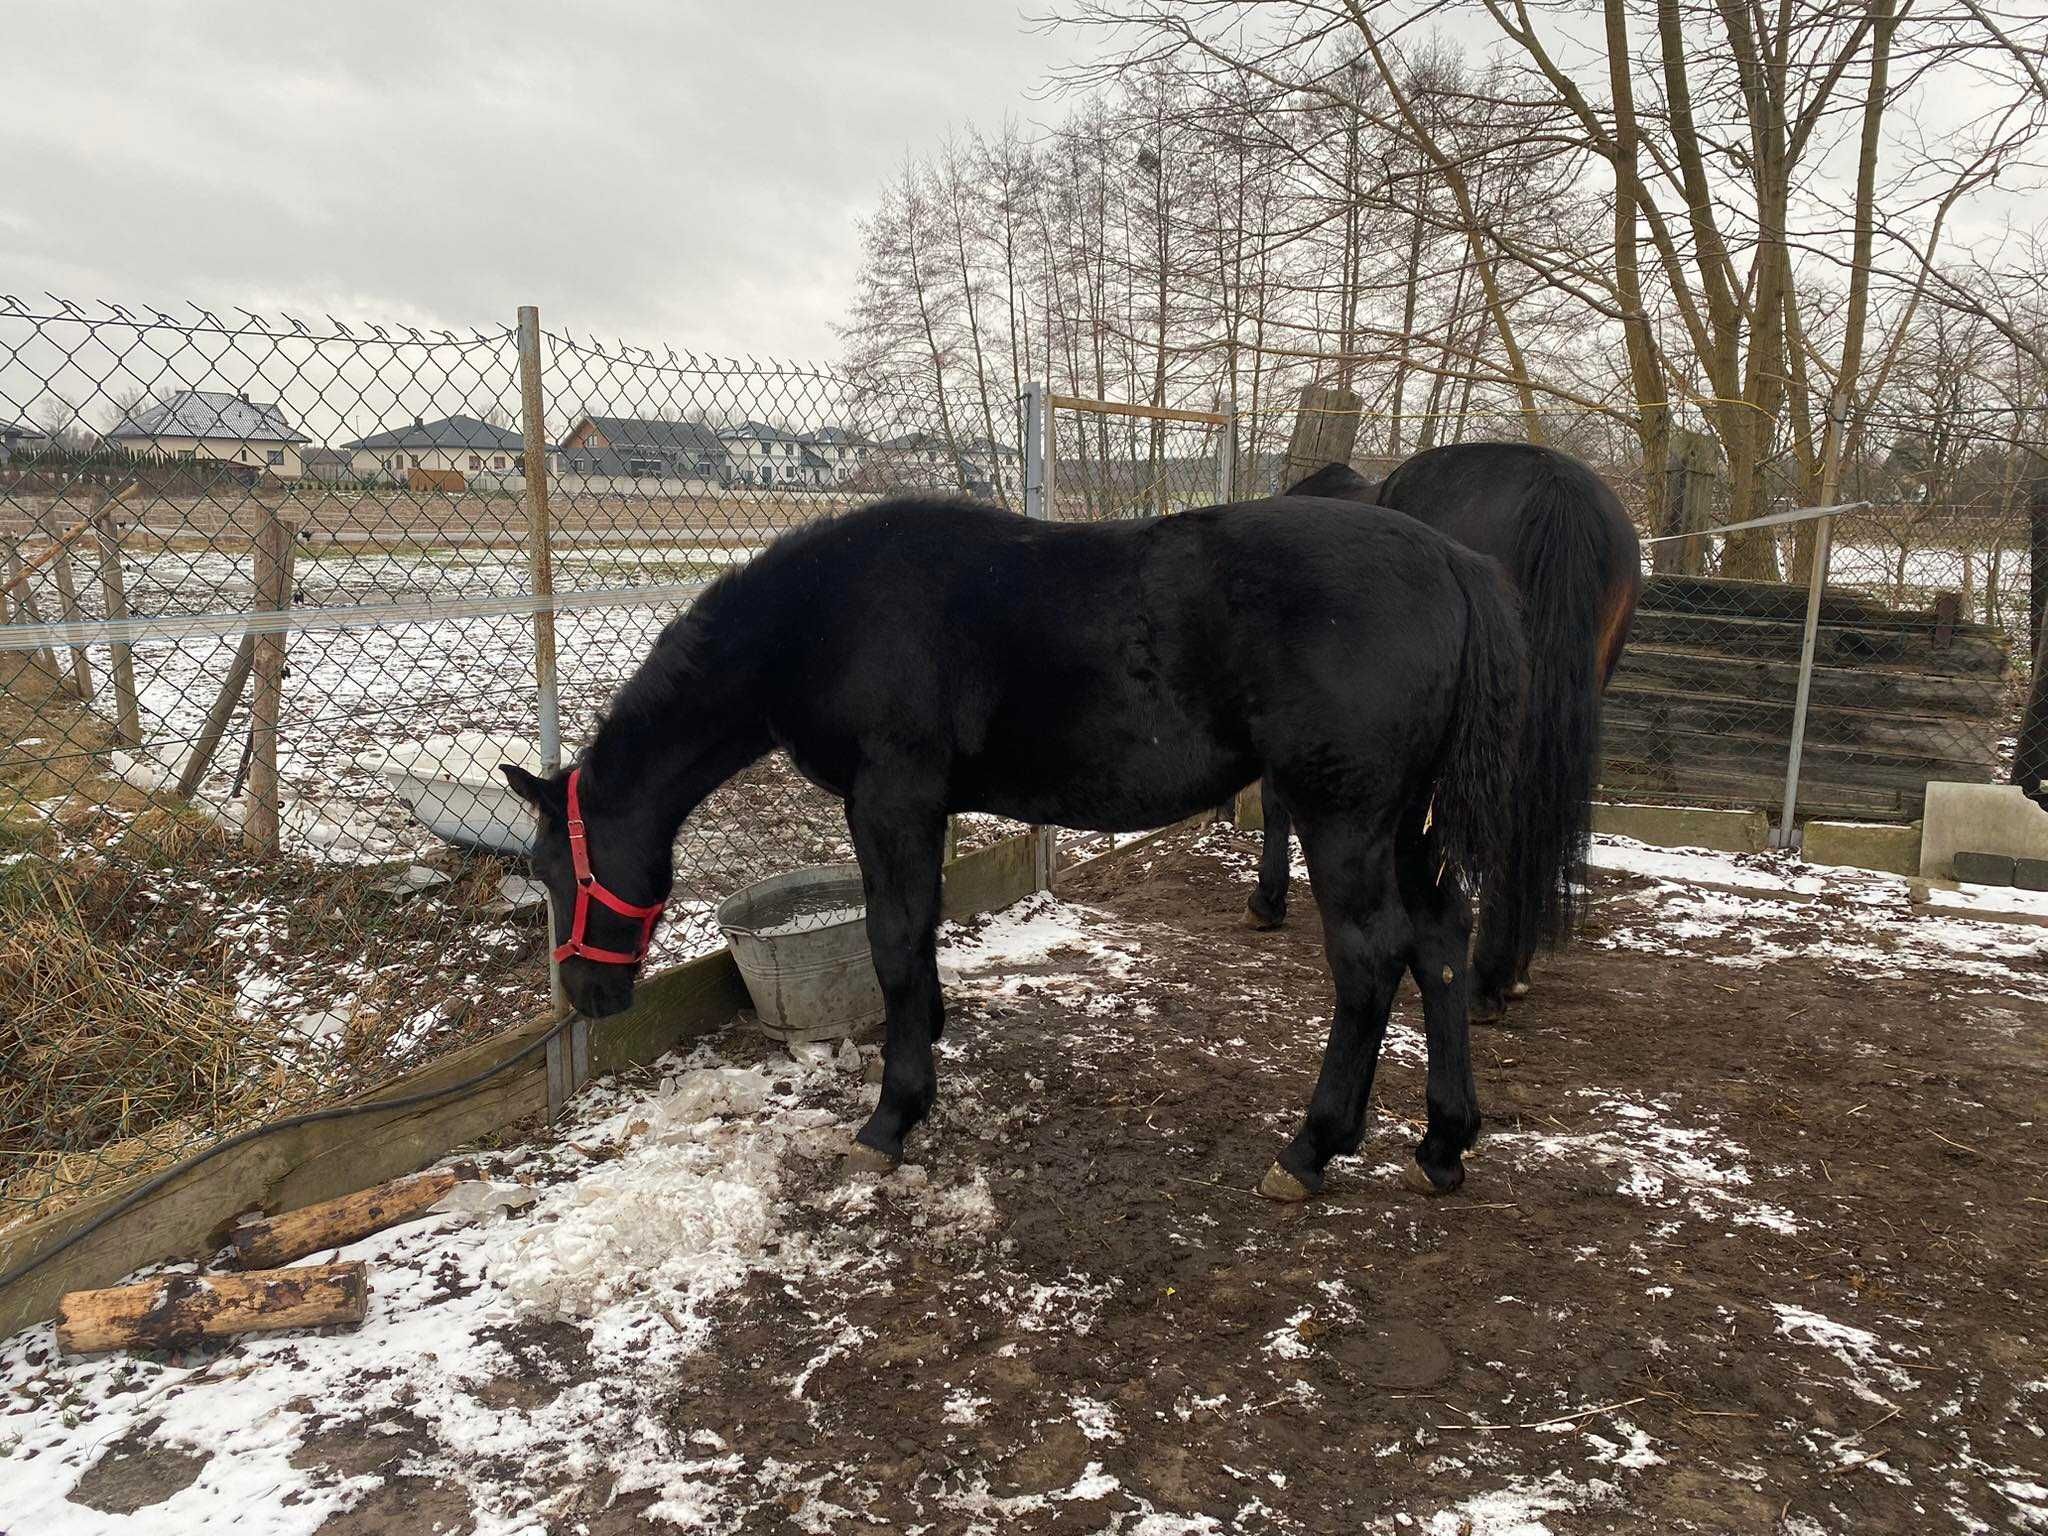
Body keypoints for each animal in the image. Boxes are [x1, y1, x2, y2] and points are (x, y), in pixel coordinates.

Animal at [499, 493, 1523, 1204]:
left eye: (554, 870)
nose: (588, 994)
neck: (823, 617)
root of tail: (1450, 560)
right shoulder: (921, 808)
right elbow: (918, 933)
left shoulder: (890, 798)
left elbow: (894, 938)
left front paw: (893, 1115)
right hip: (1406, 823)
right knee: (1439, 939)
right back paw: (1442, 1143)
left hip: (1344, 817)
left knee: (1370, 958)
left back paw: (1311, 1148)